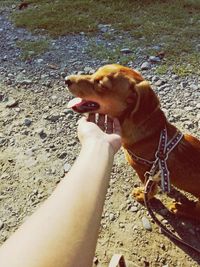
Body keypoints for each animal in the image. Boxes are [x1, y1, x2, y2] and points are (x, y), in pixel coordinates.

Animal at [65, 63, 200, 221]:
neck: (153, 134)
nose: (66, 80)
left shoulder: (143, 172)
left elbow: (151, 191)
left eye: (101, 85)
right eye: (94, 72)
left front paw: (142, 195)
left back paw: (181, 209)